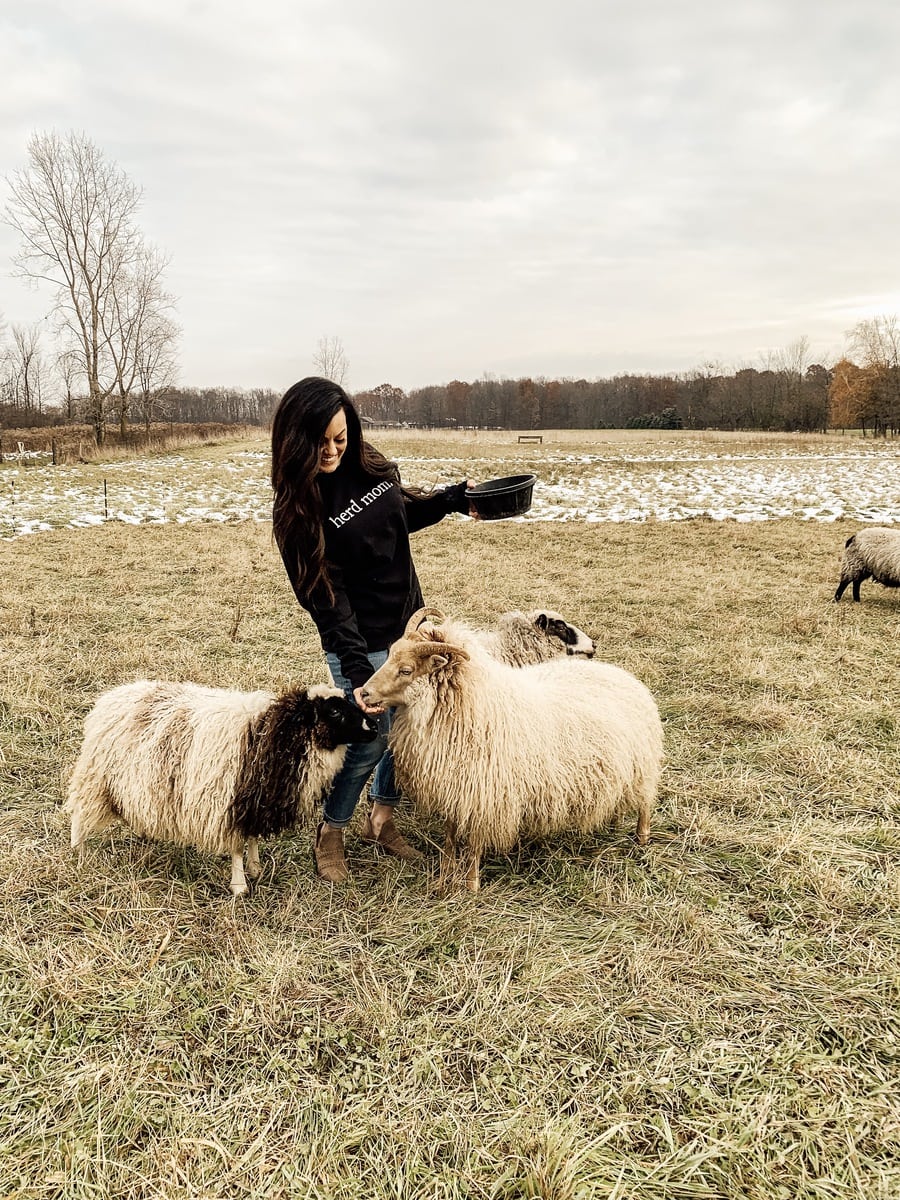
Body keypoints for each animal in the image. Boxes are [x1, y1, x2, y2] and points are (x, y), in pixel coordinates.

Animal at [65, 680, 378, 896]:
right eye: (334, 711)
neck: (275, 734)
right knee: (80, 813)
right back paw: (79, 852)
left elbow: (252, 836)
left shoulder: (254, 799)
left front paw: (256, 868)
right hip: (97, 778)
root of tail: (110, 698)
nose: (373, 726)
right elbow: (237, 845)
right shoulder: (228, 801)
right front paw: (239, 886)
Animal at [360, 615, 663, 892]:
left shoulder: (485, 795)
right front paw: (444, 878)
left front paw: (471, 885)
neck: (473, 704)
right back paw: (614, 820)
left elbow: (474, 843)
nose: (363, 693)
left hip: (642, 765)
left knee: (645, 802)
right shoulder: (458, 787)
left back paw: (642, 836)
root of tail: (624, 676)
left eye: (406, 670)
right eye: (389, 656)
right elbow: (449, 837)